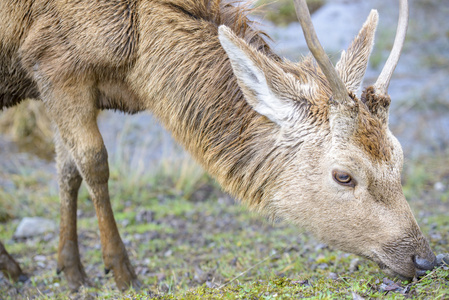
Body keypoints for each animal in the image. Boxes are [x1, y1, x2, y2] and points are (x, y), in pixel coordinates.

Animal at [0, 0, 434, 292]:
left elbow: (66, 169)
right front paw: (120, 271)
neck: (135, 64)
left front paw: (70, 269)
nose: (427, 258)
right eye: (344, 175)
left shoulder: (58, 82)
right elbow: (93, 163)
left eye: (399, 157)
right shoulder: (54, 63)